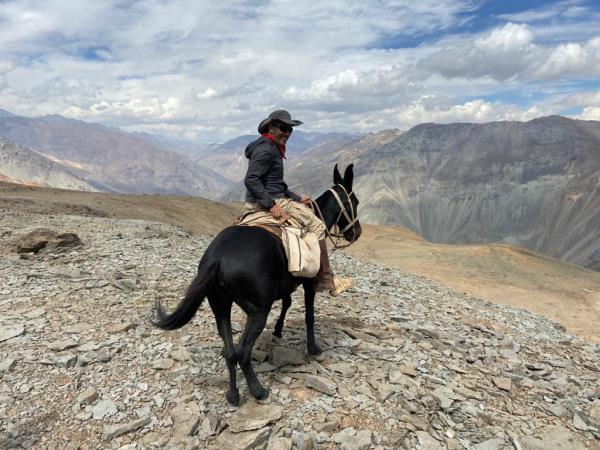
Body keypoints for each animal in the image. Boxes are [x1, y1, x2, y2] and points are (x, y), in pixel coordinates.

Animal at [155, 163, 360, 406]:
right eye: (355, 202)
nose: (357, 233)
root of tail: (217, 258)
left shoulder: (284, 286)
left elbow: (287, 303)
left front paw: (279, 330)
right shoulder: (308, 284)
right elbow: (309, 316)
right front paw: (313, 348)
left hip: (221, 308)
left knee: (230, 351)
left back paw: (233, 395)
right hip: (258, 311)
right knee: (242, 351)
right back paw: (258, 391)